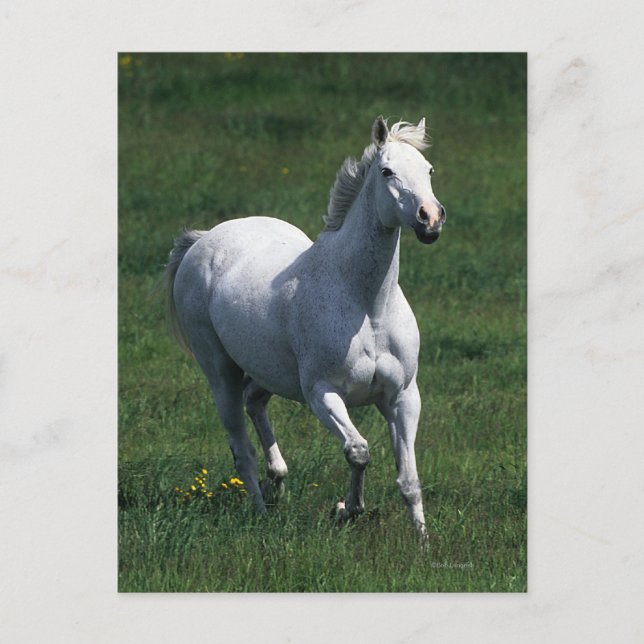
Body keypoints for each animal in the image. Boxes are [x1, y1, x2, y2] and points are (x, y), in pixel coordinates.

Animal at [164, 116, 445, 536]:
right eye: (387, 171)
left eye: (428, 170)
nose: (430, 219)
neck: (367, 306)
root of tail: (202, 239)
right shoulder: (321, 393)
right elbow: (358, 451)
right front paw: (348, 509)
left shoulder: (403, 397)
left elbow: (409, 479)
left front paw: (422, 539)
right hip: (219, 372)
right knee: (241, 447)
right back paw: (261, 511)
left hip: (268, 371)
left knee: (254, 402)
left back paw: (277, 483)